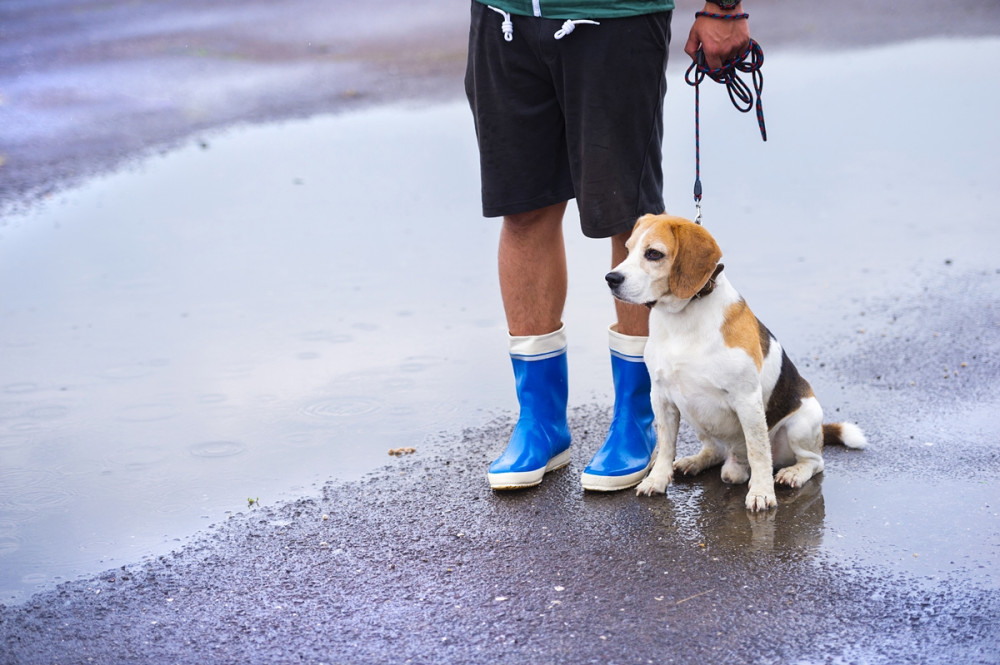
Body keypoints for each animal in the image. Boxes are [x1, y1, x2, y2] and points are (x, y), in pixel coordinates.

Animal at [604, 213, 864, 508]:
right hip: (697, 417)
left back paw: (793, 473)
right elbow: (666, 445)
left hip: (801, 424)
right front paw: (657, 480)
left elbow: (758, 451)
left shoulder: (747, 400)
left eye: (653, 254)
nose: (611, 278)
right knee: (716, 450)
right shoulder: (661, 396)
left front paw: (761, 492)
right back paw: (697, 461)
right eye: (627, 250)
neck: (683, 318)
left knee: (814, 461)